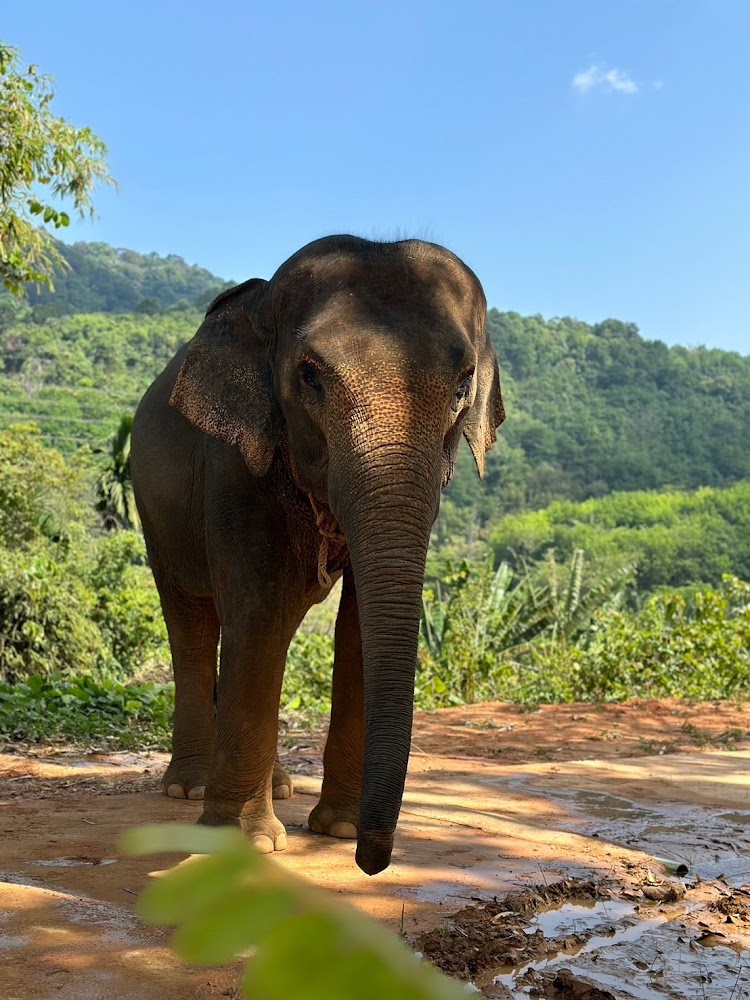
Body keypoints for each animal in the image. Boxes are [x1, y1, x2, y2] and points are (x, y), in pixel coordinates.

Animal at [131, 235, 504, 875]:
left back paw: (277, 786)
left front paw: (338, 828)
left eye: (462, 386)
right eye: (309, 376)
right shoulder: (235, 462)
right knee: (197, 624)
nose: (371, 863)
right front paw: (243, 846)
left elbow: (355, 626)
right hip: (155, 515)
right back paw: (189, 788)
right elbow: (256, 607)